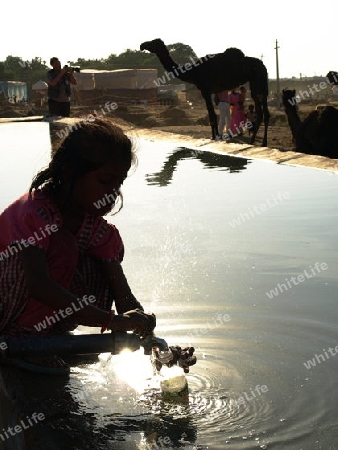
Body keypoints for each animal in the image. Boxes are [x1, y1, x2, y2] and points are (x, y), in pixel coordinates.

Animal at [139, 38, 270, 146]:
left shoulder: (205, 90)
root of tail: (263, 65)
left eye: (154, 42)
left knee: (262, 111)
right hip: (256, 83)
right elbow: (212, 115)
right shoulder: (209, 91)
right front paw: (215, 136)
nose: (142, 45)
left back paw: (259, 142)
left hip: (259, 81)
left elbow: (212, 116)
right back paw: (256, 141)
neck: (193, 72)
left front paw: (215, 137)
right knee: (261, 112)